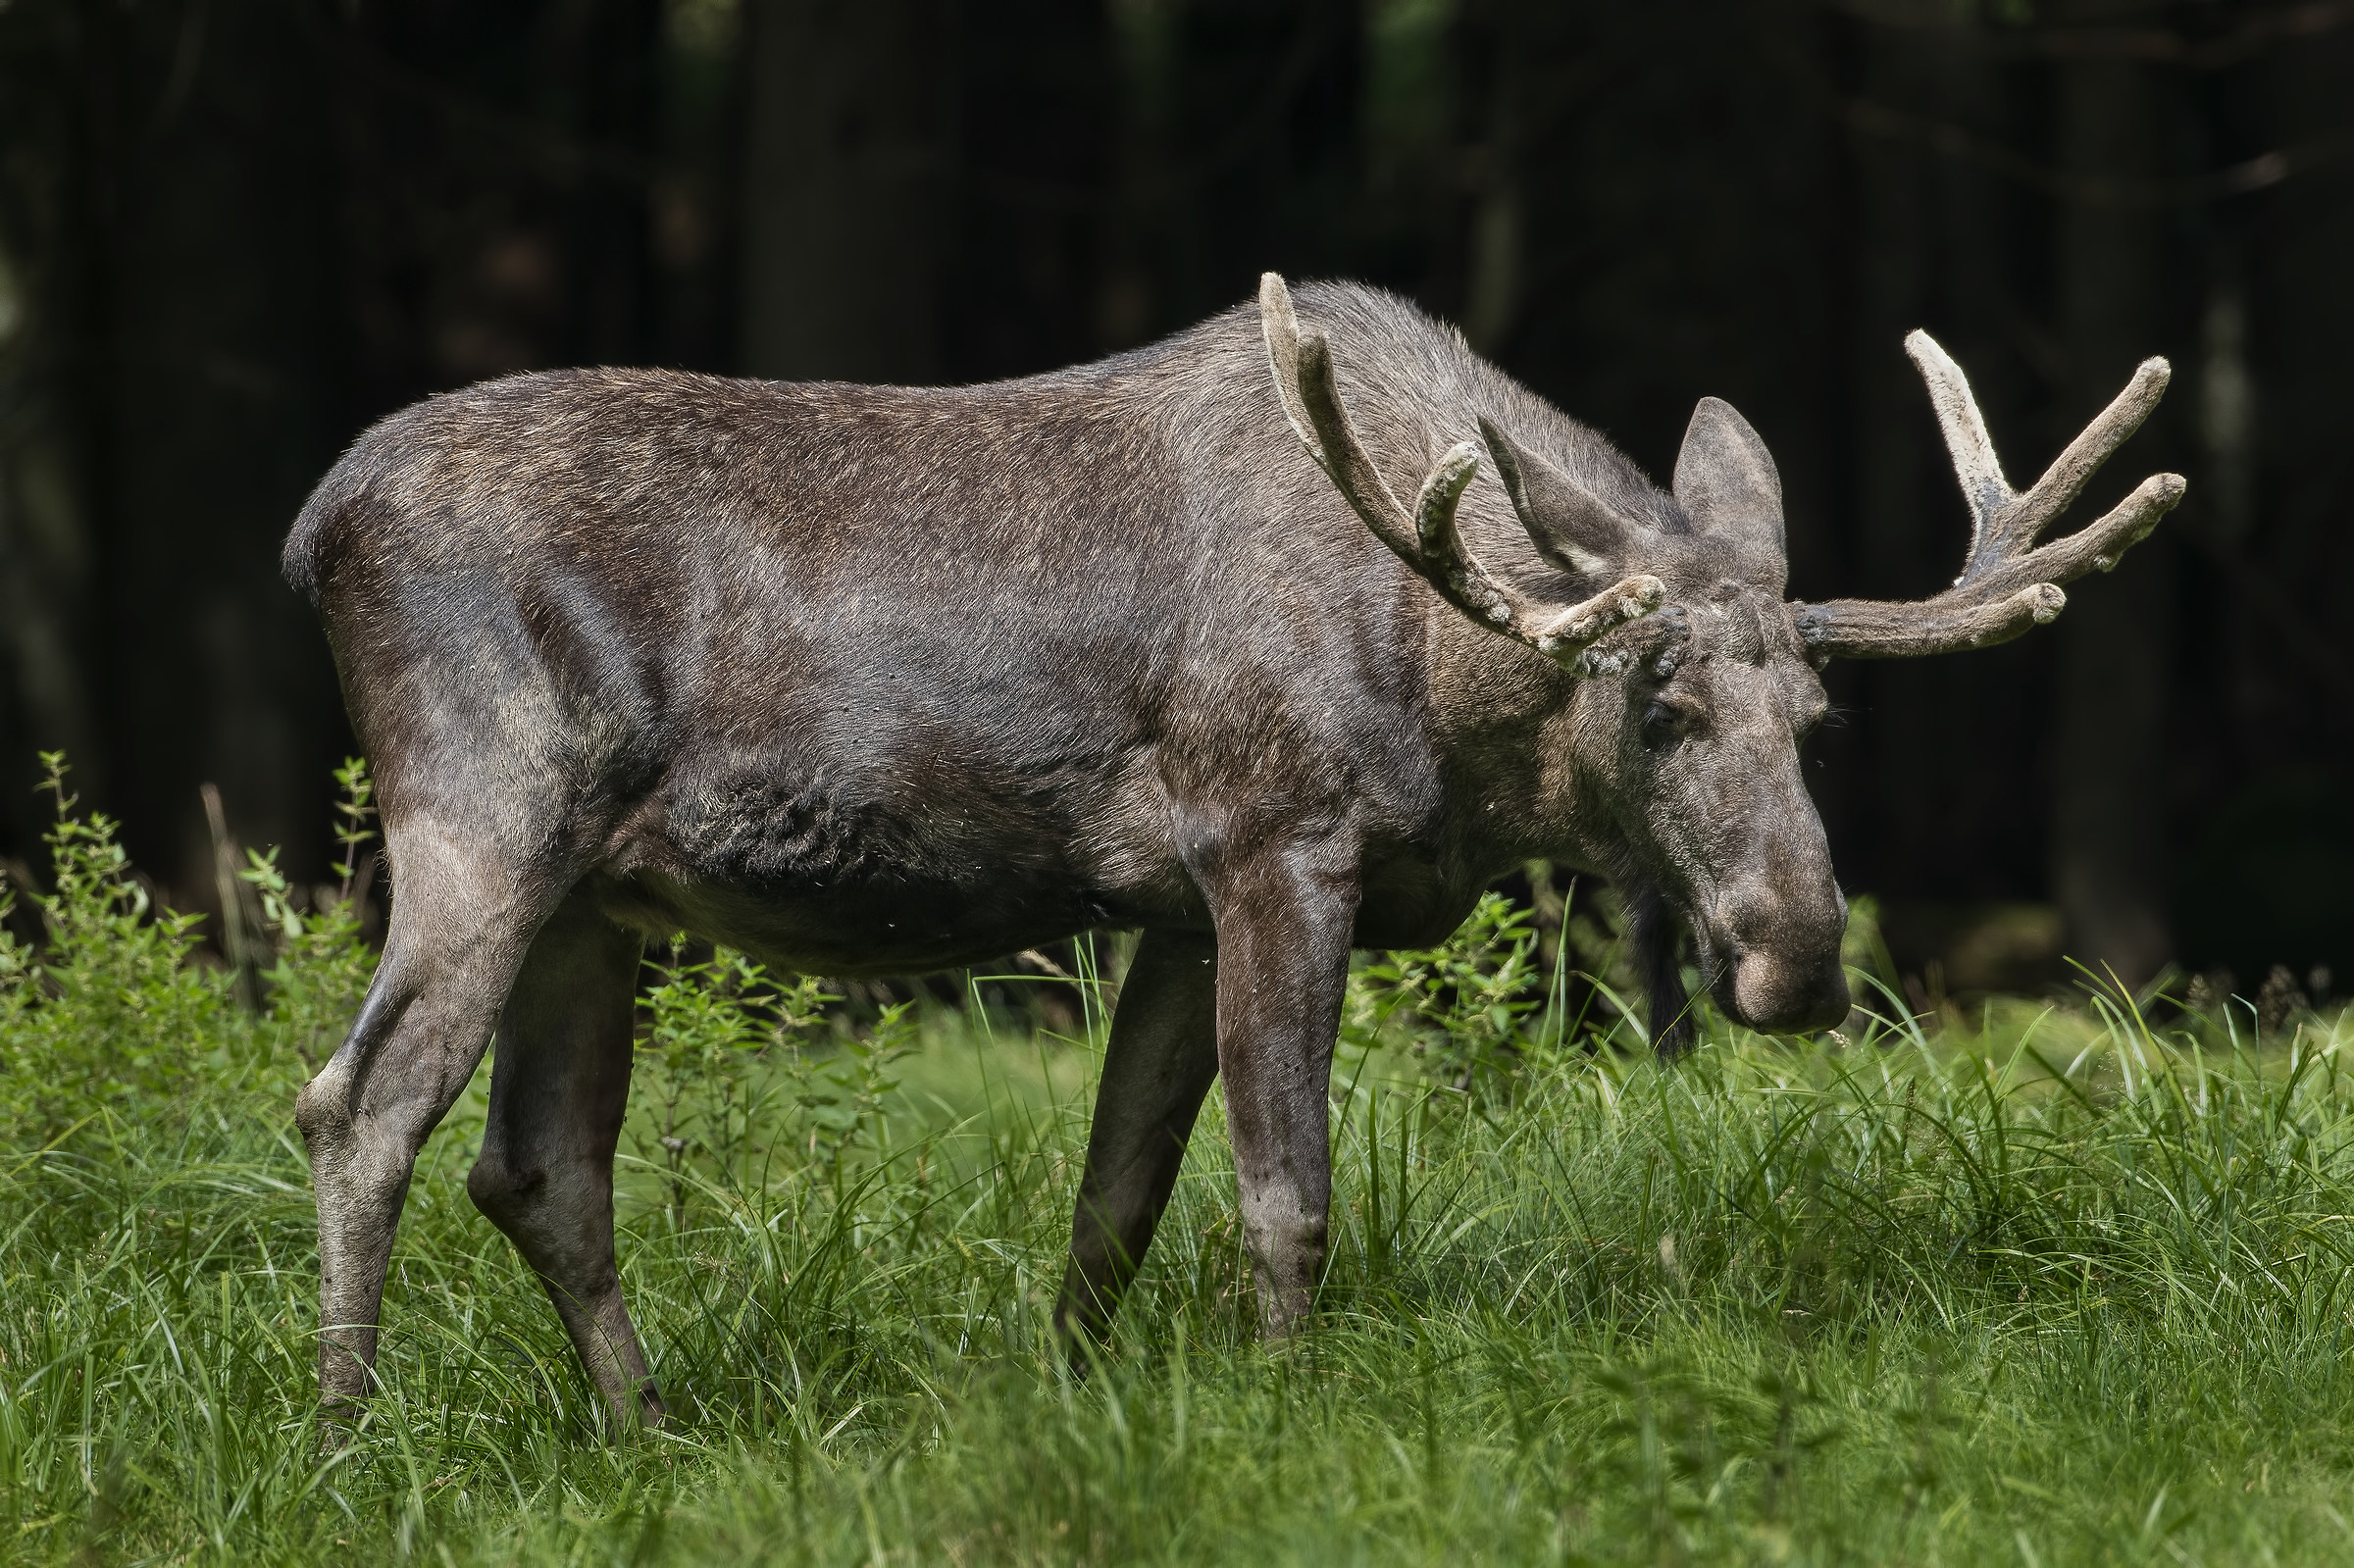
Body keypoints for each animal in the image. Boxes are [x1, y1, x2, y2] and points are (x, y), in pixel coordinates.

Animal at [282, 271, 2180, 1428]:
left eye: (1819, 715)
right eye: (1658, 701)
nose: (1795, 947)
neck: (1449, 681)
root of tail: (316, 527)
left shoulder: (1174, 904)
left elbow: (1113, 1197)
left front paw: (1070, 1399)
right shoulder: (1275, 831)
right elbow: (1286, 1191)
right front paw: (1285, 1402)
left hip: (598, 901)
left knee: (538, 1162)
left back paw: (650, 1425)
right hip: (480, 805)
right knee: (358, 1101)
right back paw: (349, 1429)